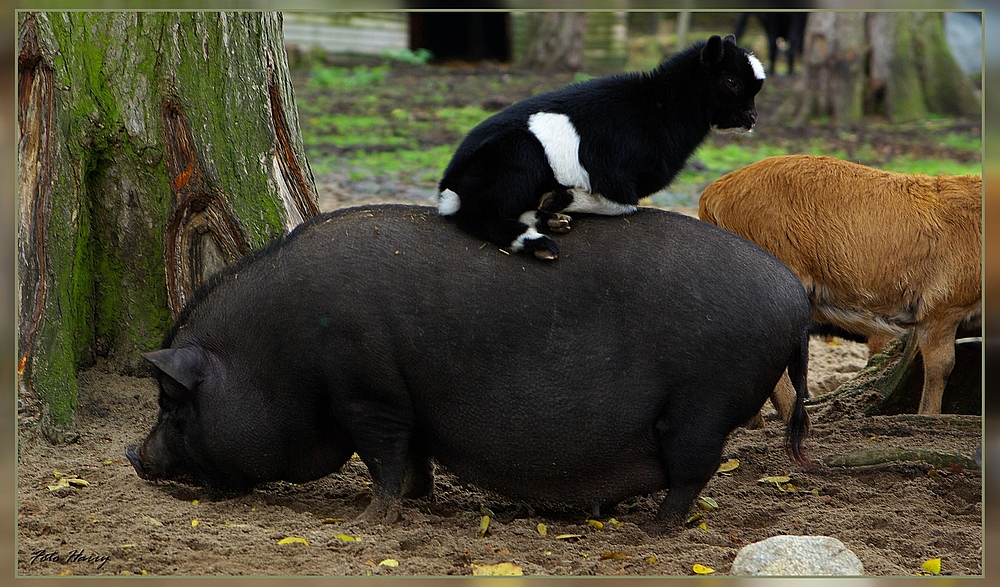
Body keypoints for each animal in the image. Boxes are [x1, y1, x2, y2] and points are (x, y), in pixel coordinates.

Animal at [127, 204, 812, 532]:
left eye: (172, 404)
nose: (133, 456)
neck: (274, 355)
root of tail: (794, 299)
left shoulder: (366, 395)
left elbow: (385, 456)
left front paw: (365, 519)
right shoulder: (402, 404)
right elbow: (413, 457)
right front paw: (415, 504)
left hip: (703, 404)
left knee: (694, 470)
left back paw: (648, 533)